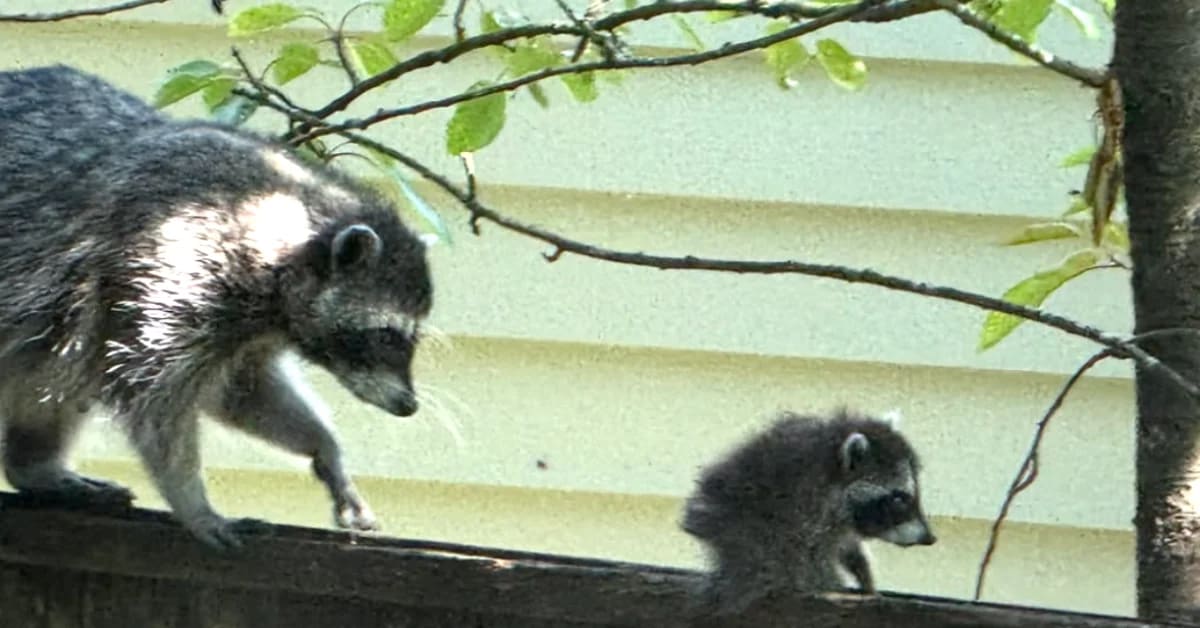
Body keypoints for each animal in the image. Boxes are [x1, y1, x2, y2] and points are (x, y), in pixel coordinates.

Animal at [0, 65, 433, 550]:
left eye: (411, 336)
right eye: (387, 335)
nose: (408, 405)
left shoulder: (244, 328)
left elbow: (244, 393)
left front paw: (326, 449)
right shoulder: (165, 268)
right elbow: (155, 402)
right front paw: (192, 502)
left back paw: (34, 465)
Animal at [681, 408, 936, 615]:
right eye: (899, 498)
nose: (930, 538)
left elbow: (846, 548)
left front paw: (864, 575)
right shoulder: (806, 511)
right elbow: (812, 555)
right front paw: (829, 589)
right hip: (743, 530)